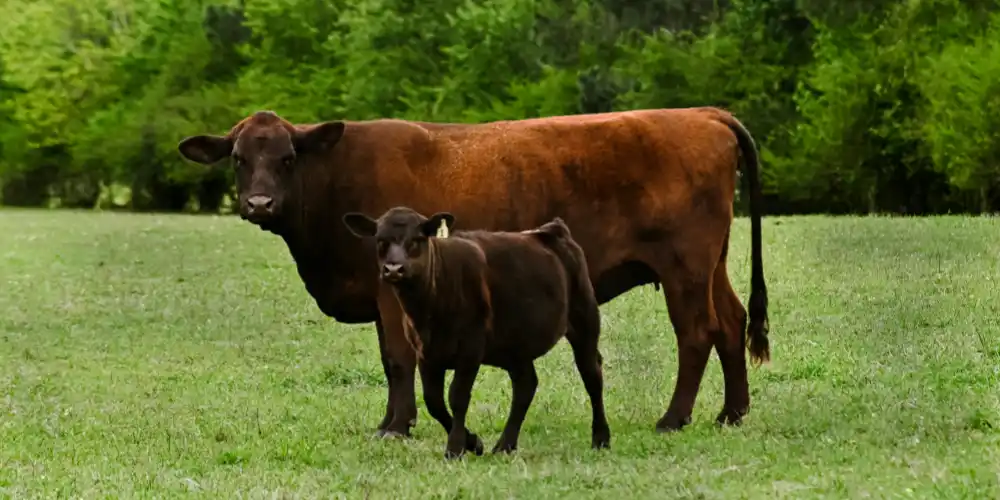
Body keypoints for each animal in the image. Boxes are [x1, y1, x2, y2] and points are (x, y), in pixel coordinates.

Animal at [341, 207, 610, 459]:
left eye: (416, 239)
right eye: (380, 241)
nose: (394, 269)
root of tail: (551, 229)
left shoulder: (470, 348)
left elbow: (457, 397)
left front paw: (455, 448)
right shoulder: (426, 353)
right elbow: (433, 401)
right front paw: (473, 443)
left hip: (584, 319)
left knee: (592, 375)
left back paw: (601, 438)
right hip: (514, 345)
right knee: (526, 385)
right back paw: (505, 445)